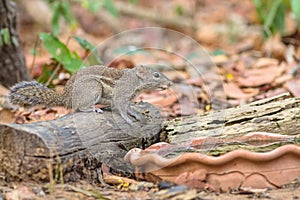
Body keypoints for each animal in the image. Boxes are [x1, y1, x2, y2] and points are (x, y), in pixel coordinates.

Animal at [9, 65, 172, 117]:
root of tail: (66, 97)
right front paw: (132, 115)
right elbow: (122, 106)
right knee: (78, 108)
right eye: (156, 75)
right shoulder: (121, 94)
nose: (170, 83)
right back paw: (94, 109)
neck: (135, 80)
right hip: (93, 89)